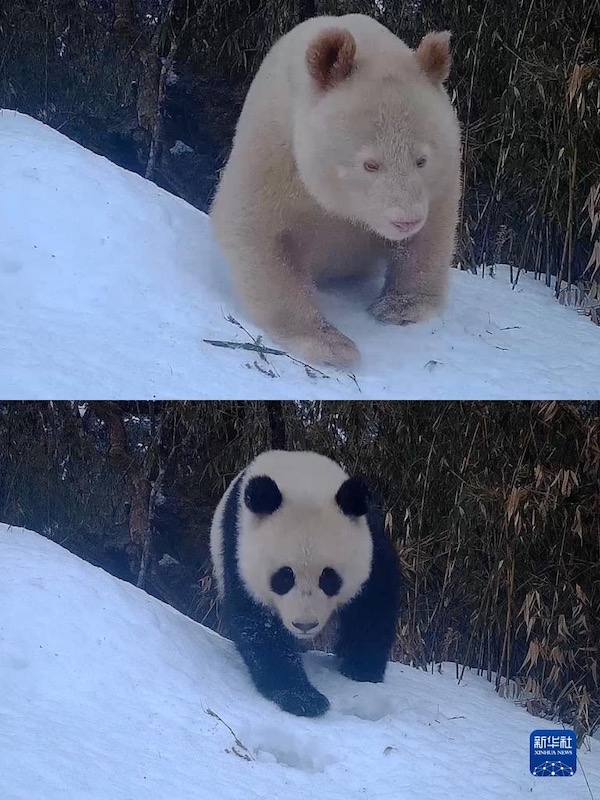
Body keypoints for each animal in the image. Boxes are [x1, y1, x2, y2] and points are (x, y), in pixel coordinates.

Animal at [209, 450, 400, 720]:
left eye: (329, 578)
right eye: (283, 577)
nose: (304, 625)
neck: (303, 479)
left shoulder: (371, 542)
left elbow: (373, 601)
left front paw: (362, 669)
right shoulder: (238, 548)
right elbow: (256, 622)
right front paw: (302, 698)